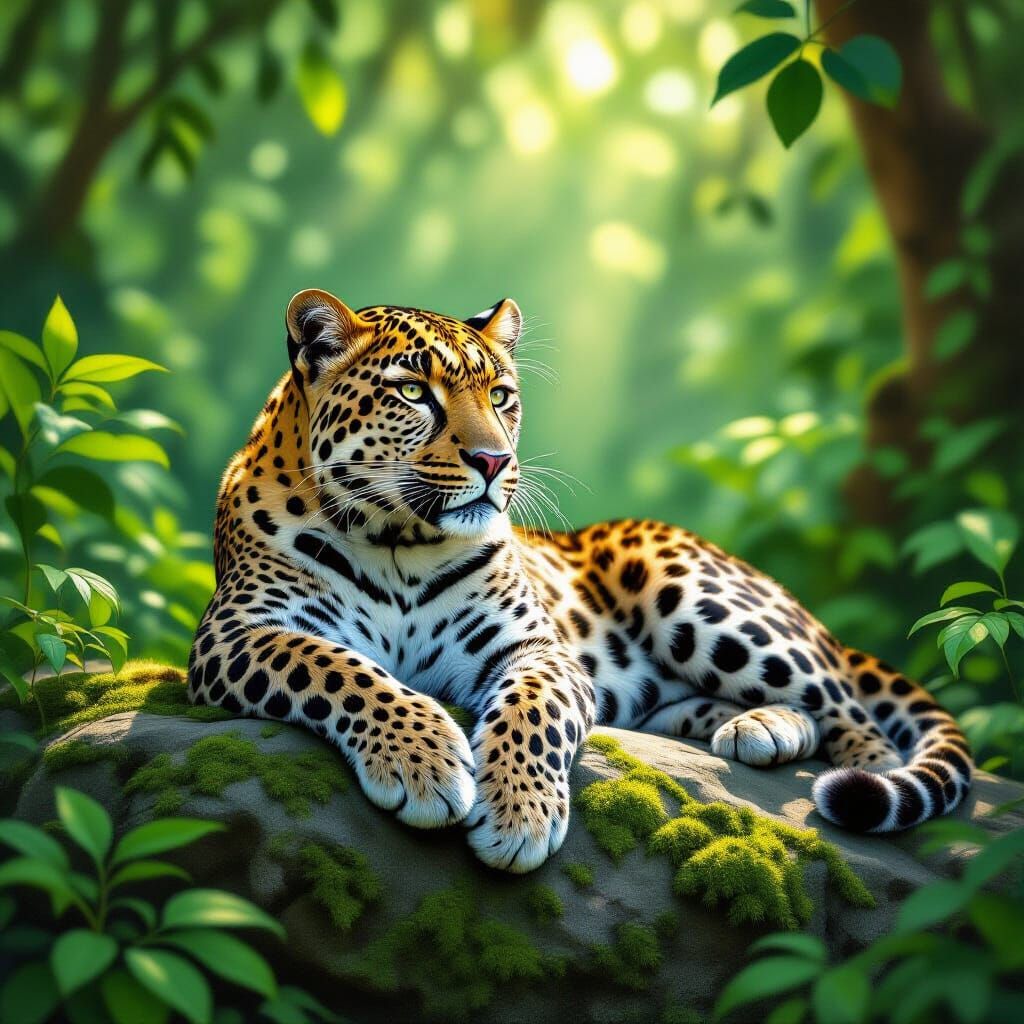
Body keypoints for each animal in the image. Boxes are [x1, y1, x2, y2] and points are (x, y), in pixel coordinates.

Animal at [188, 288, 973, 873]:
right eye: (412, 391)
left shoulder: (536, 648)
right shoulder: (238, 632)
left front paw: (519, 813)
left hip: (696, 598)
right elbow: (339, 668)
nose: (494, 461)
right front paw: (424, 761)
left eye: (502, 396)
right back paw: (759, 729)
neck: (396, 542)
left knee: (855, 717)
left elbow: (532, 711)